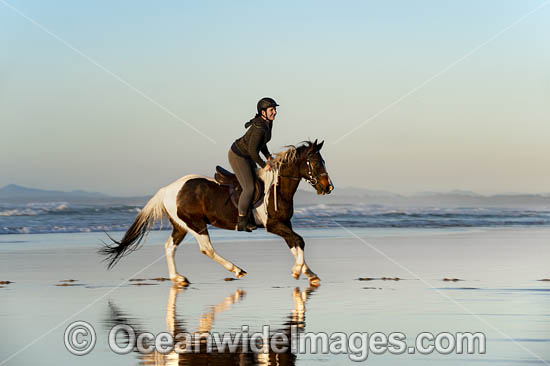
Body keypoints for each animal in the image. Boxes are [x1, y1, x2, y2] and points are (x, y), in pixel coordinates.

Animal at [100, 139, 336, 286]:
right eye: (316, 163)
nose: (328, 187)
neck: (276, 187)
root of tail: (167, 189)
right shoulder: (274, 226)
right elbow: (299, 241)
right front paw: (298, 271)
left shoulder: (285, 225)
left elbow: (295, 244)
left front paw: (309, 274)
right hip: (196, 224)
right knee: (206, 249)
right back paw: (236, 270)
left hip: (181, 226)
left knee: (169, 247)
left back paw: (178, 278)